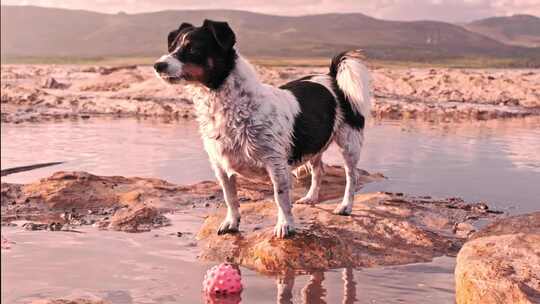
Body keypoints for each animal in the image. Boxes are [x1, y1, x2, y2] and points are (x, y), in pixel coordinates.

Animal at [154, 20, 370, 239]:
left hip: (349, 143)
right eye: (172, 48)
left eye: (193, 49)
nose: (157, 65)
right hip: (314, 145)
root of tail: (332, 78)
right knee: (319, 171)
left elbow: (280, 198)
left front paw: (285, 225)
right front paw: (232, 222)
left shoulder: (276, 164)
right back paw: (310, 198)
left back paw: (345, 206)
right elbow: (230, 197)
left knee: (351, 177)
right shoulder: (220, 166)